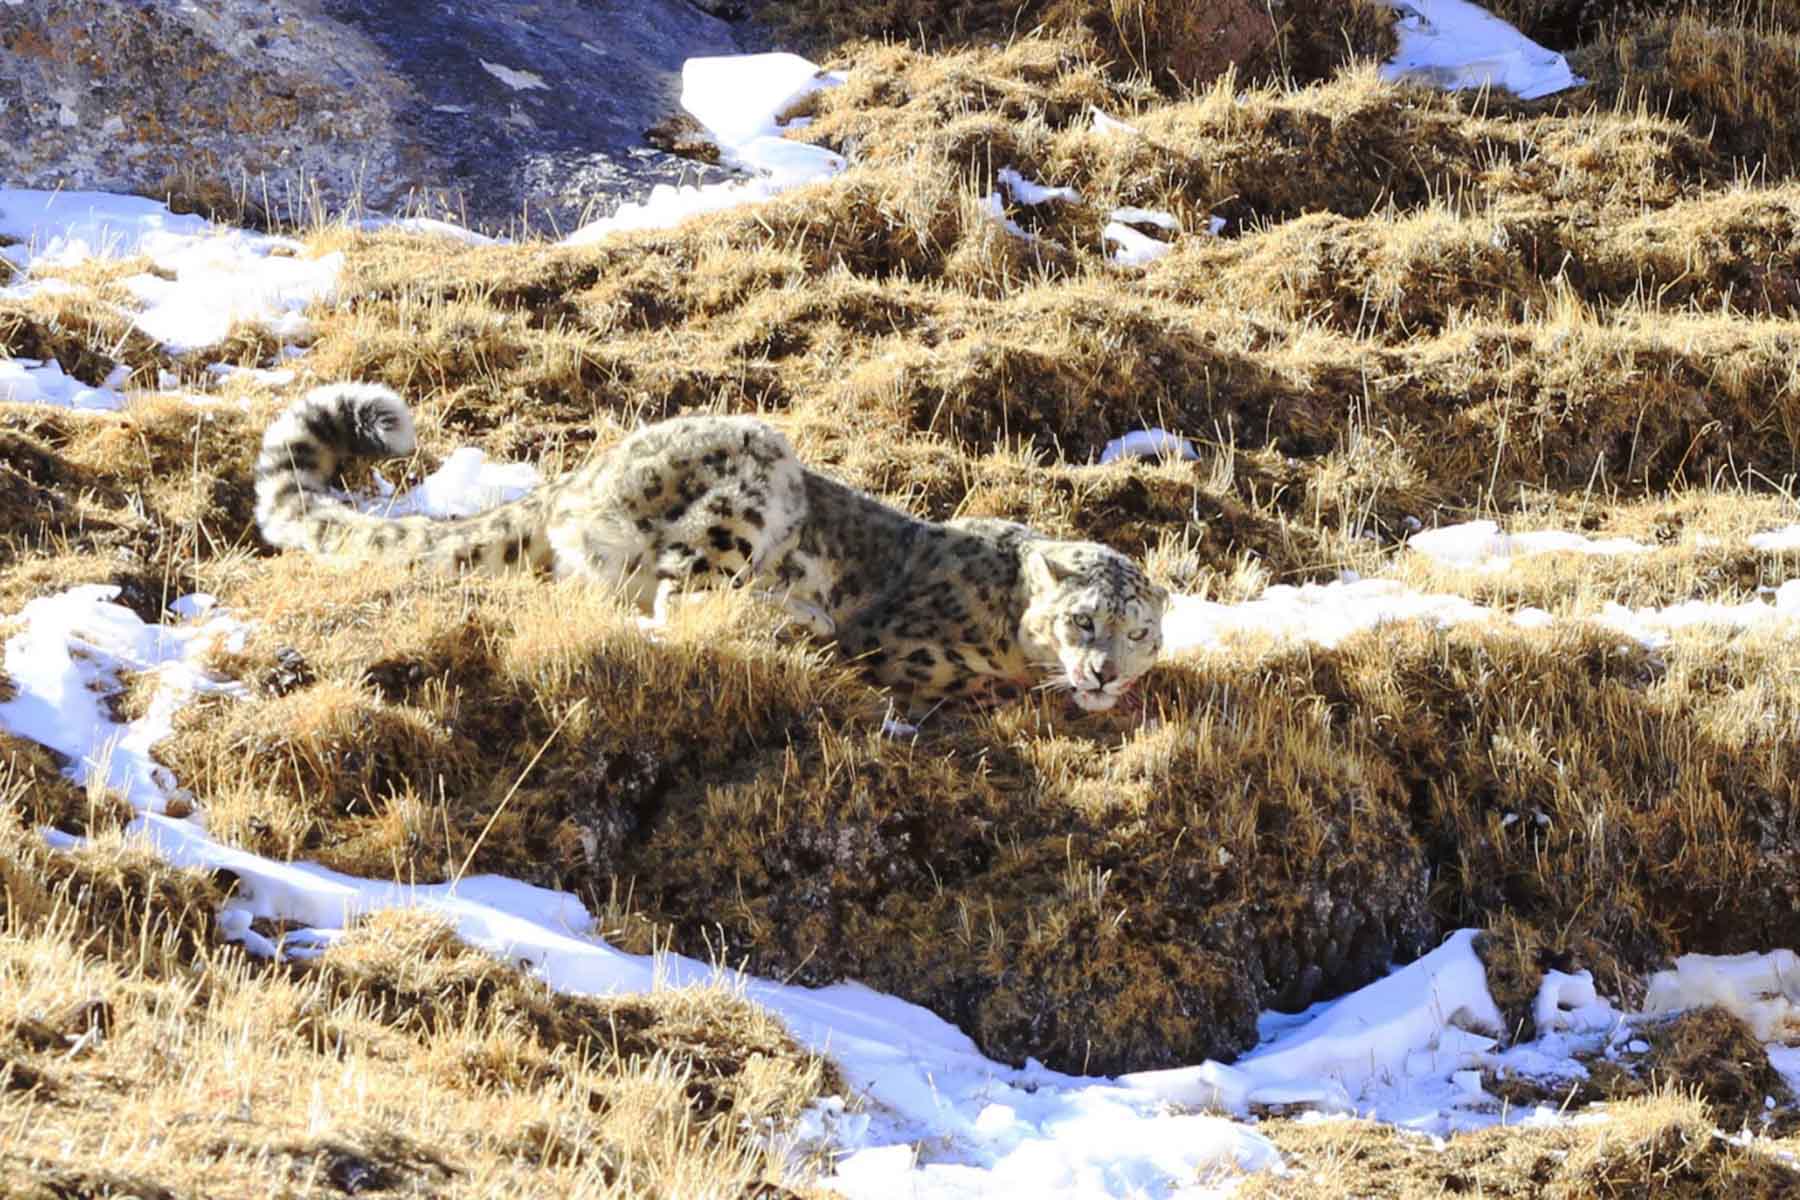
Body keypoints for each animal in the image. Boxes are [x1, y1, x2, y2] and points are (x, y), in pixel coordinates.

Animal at [254, 383, 1168, 711]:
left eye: (1139, 632)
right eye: (1082, 621)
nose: (1103, 670)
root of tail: (578, 474)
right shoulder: (911, 647)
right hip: (747, 485)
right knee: (678, 600)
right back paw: (789, 626)